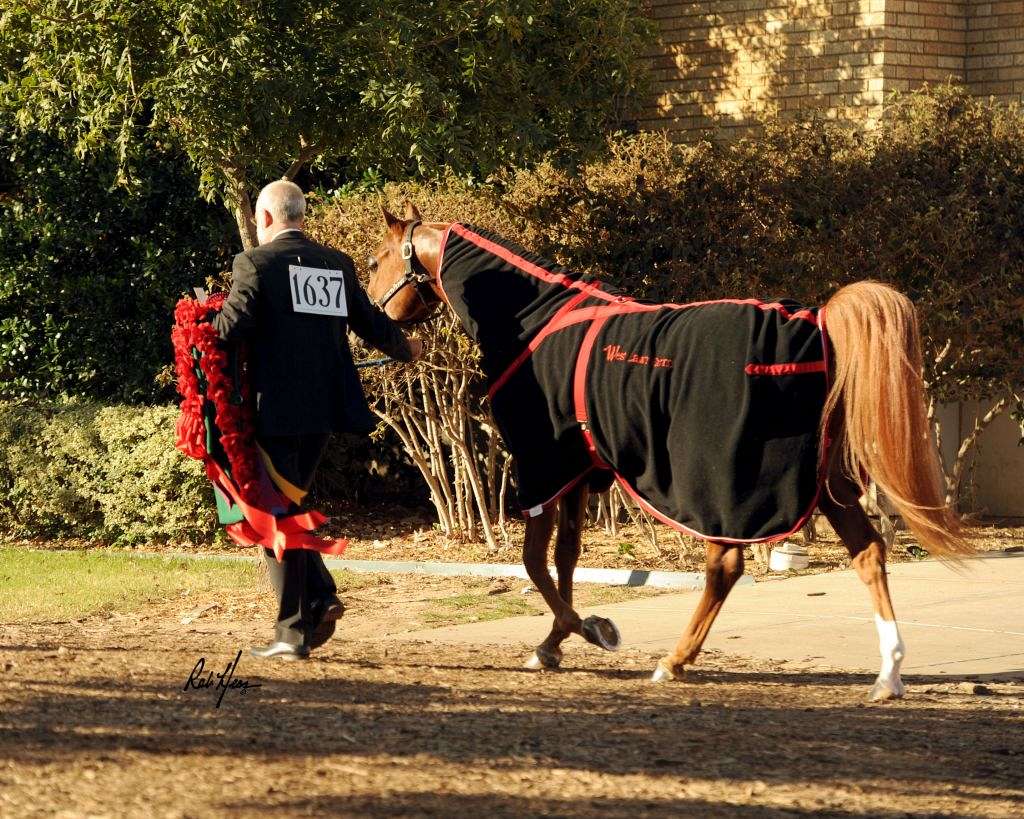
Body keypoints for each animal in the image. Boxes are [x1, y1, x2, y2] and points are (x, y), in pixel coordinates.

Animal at [366, 201, 966, 700]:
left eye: (374, 260)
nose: (372, 316)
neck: (537, 324)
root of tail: (817, 321)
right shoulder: (579, 471)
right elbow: (566, 557)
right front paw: (555, 641)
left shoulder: (544, 468)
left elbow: (535, 561)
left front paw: (589, 630)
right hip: (826, 482)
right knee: (868, 554)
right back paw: (888, 675)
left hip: (726, 485)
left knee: (726, 564)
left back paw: (674, 661)